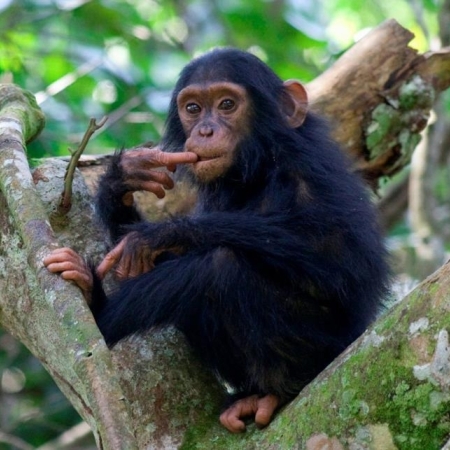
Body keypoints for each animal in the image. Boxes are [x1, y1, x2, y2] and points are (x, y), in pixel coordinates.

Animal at [45, 48, 390, 432]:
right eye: (193, 108)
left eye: (227, 104)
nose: (205, 130)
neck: (258, 168)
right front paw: (123, 178)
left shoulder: (311, 170)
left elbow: (341, 263)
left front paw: (163, 234)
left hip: (322, 349)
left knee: (217, 267)